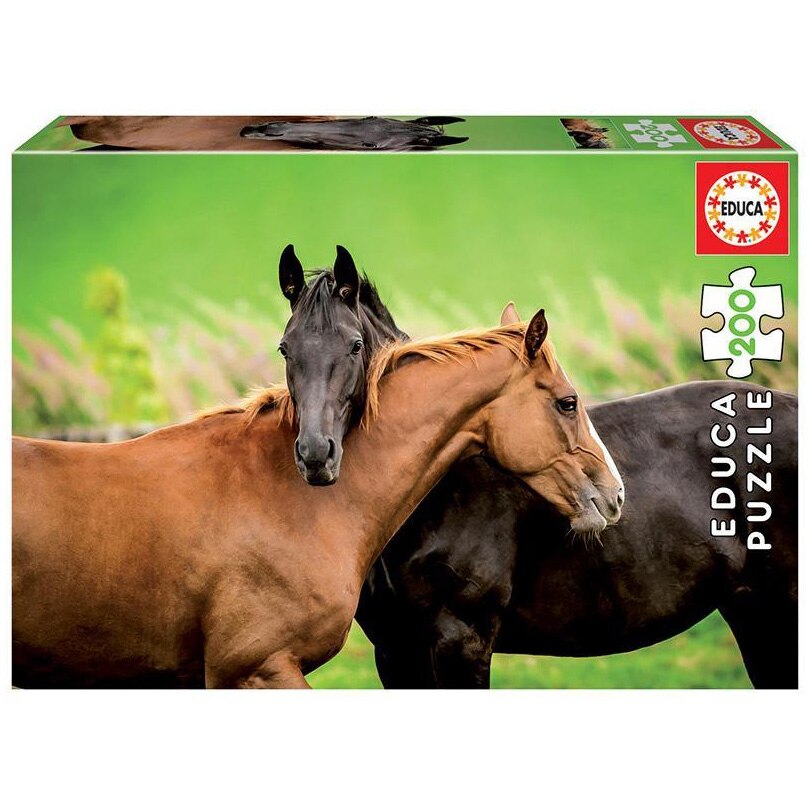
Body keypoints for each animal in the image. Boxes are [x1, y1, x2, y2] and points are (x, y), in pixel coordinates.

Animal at [279, 284, 797, 688]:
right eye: (287, 349)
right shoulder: (395, 651)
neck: (434, 498)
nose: (316, 454)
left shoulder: (460, 642)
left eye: (354, 346)